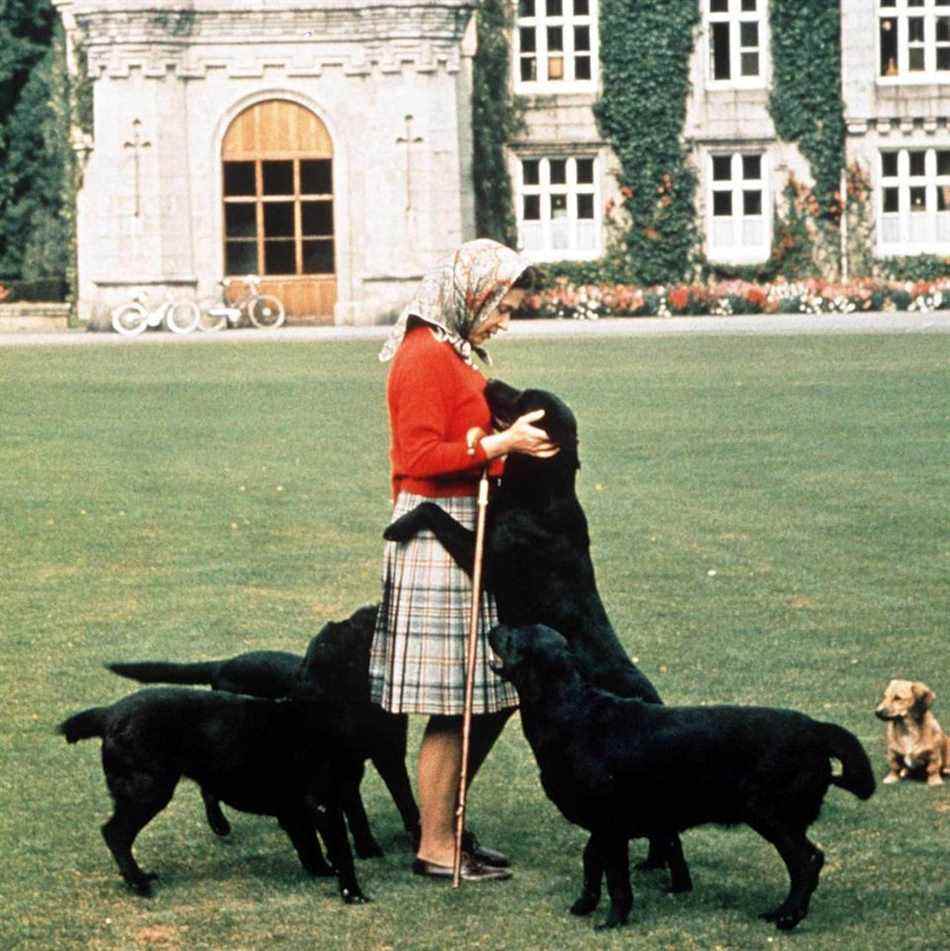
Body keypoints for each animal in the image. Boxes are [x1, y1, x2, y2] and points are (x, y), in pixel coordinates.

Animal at [59, 688, 370, 904]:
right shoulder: (324, 803)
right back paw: (138, 882)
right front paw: (353, 894)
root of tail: (109, 713)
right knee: (115, 833)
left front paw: (321, 870)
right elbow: (341, 851)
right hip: (148, 792)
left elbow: (309, 845)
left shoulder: (296, 809)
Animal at [108, 608, 420, 852]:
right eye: (350, 628)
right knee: (209, 789)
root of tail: (222, 664)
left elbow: (405, 801)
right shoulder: (344, 764)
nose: (373, 606)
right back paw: (219, 824)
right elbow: (357, 810)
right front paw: (369, 849)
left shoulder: (389, 755)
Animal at [384, 378, 692, 892]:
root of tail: (656, 704)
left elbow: (431, 510)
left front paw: (398, 524)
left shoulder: (485, 554)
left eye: (525, 398)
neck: (539, 488)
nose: (490, 381)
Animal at [490, 624, 876, 928]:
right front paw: (585, 905)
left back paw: (787, 916)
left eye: (513, 635)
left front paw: (613, 919)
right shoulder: (601, 824)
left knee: (807, 862)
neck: (570, 712)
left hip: (770, 813)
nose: (492, 627)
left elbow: (615, 876)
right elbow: (590, 860)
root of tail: (816, 728)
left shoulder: (611, 822)